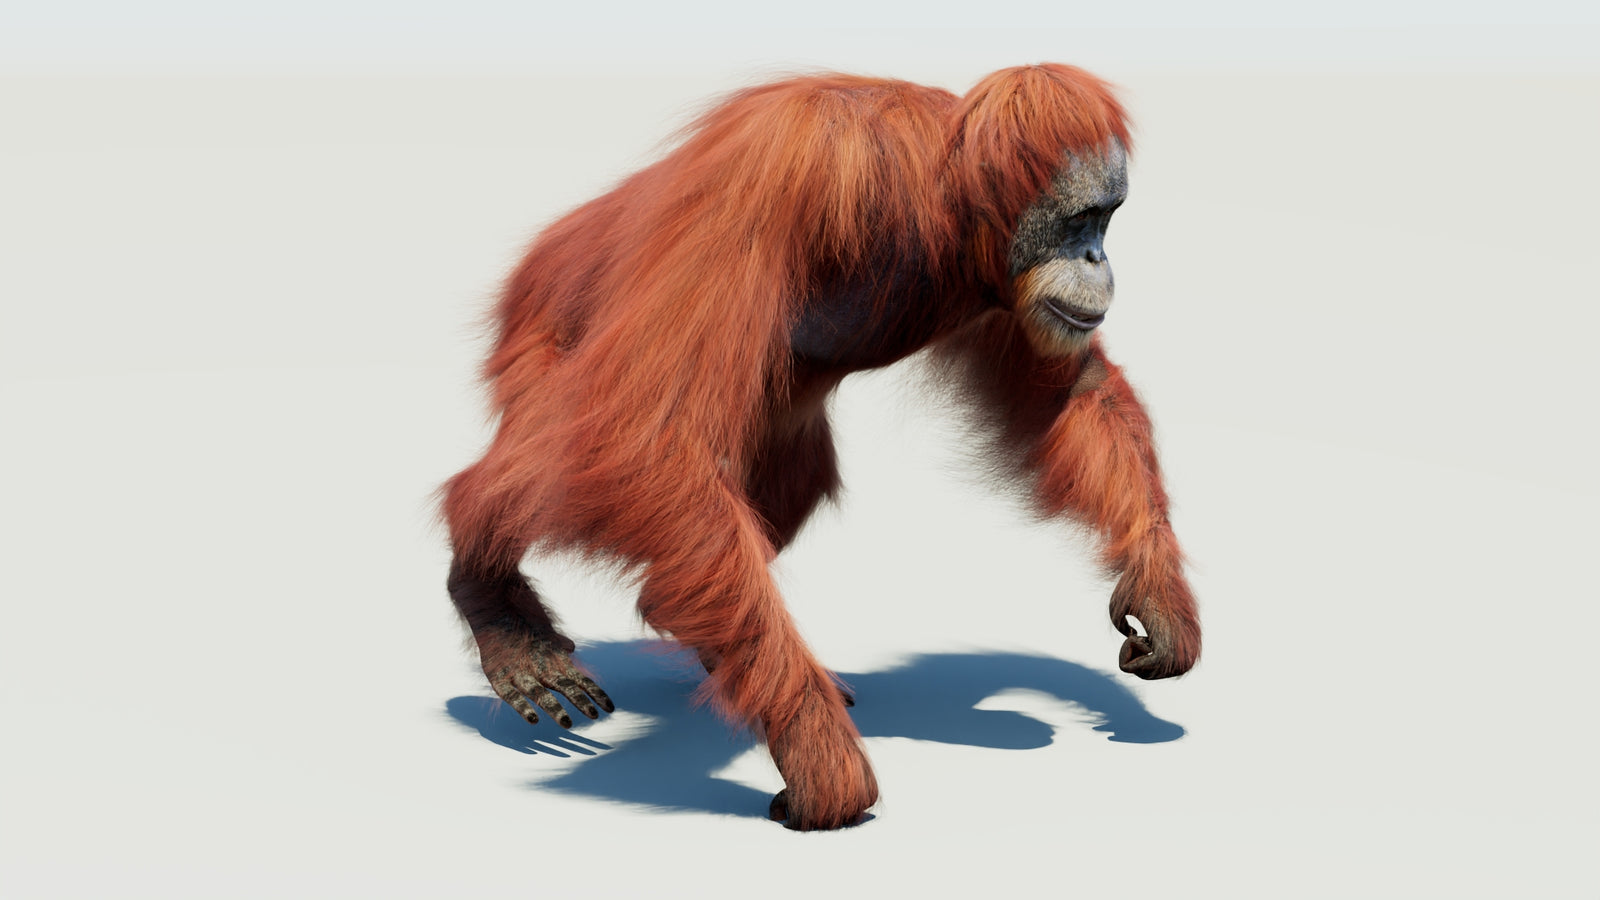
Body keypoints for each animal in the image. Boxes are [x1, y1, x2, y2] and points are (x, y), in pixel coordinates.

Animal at [442, 64, 1201, 830]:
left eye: (1107, 219)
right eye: (1080, 220)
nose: (1097, 257)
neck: (941, 204)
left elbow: (1070, 392)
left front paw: (1158, 591)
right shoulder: (786, 169)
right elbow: (648, 432)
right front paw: (819, 756)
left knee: (781, 487)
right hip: (538, 334)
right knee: (558, 457)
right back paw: (498, 608)